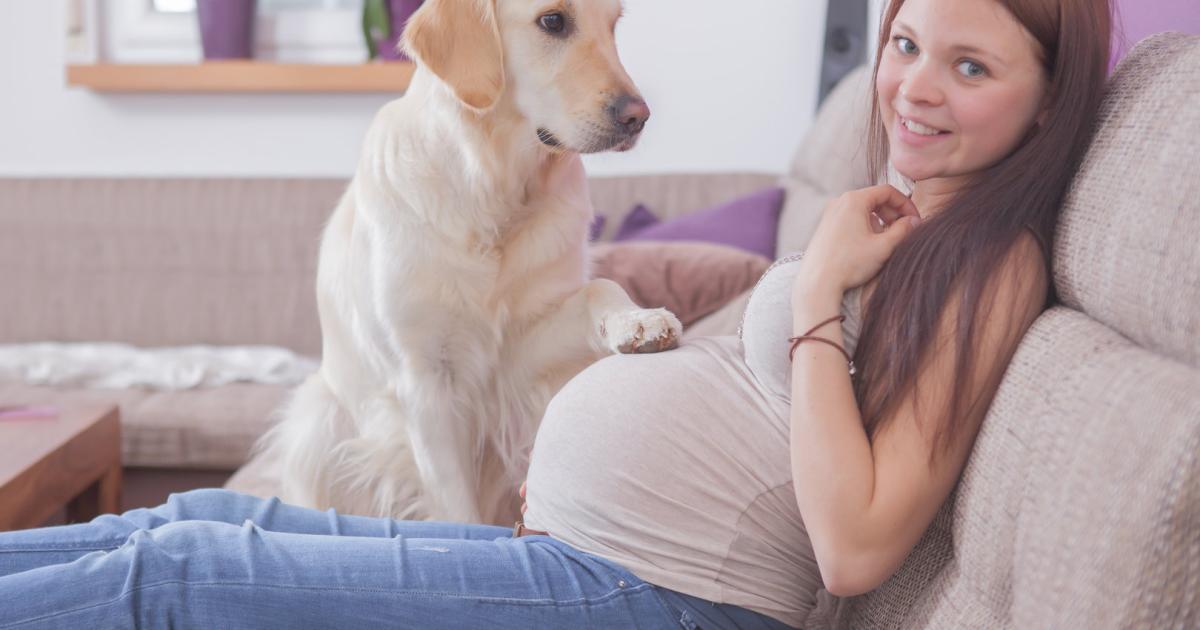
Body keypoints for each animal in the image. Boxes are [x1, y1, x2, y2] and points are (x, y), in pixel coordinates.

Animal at [256, 0, 681, 523]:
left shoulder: (518, 354)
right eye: (553, 21)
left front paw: (637, 321)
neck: (491, 190)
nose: (638, 116)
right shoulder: (424, 377)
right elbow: (456, 507)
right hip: (317, 420)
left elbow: (598, 289)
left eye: (614, 24)